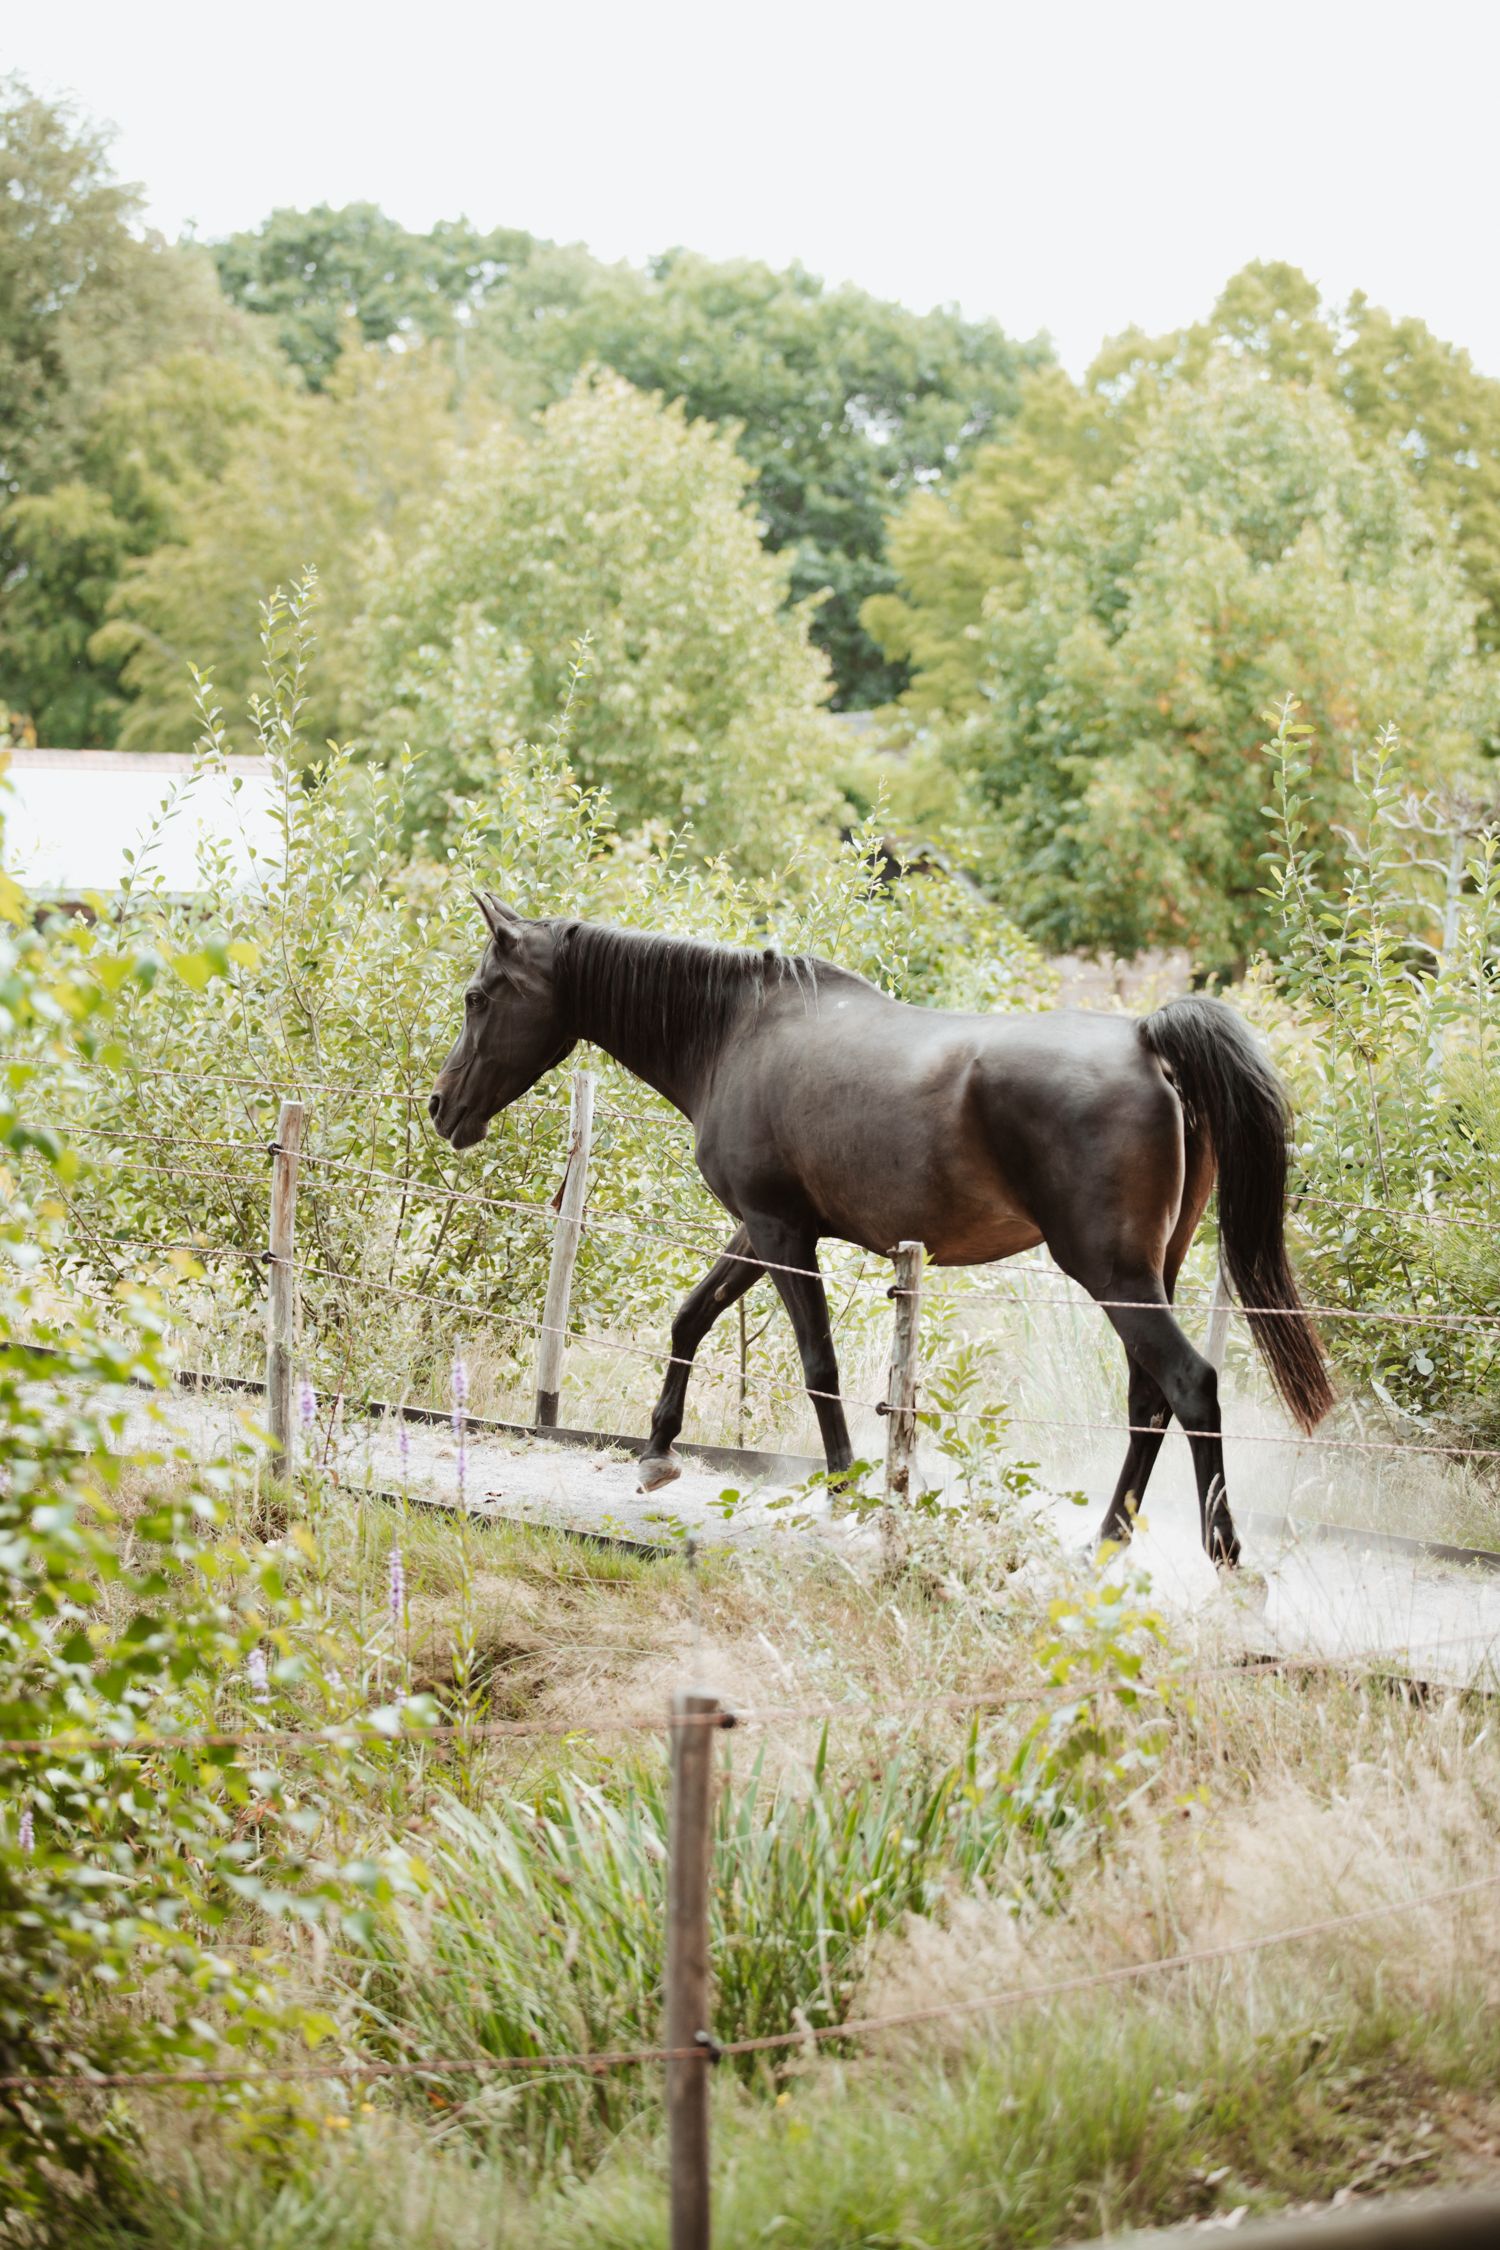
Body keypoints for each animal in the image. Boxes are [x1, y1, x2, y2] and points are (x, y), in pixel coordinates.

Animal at [429, 899, 1333, 1565]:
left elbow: (817, 1364)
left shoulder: (780, 1235)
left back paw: (1223, 1557)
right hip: (1151, 1275)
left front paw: (843, 1490)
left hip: (1114, 1276)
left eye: (479, 997)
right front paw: (656, 1450)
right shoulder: (763, 1232)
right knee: (1150, 1402)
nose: (441, 1107)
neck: (734, 1032)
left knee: (1189, 1388)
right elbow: (691, 1317)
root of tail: (1147, 1040)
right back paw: (1105, 1543)